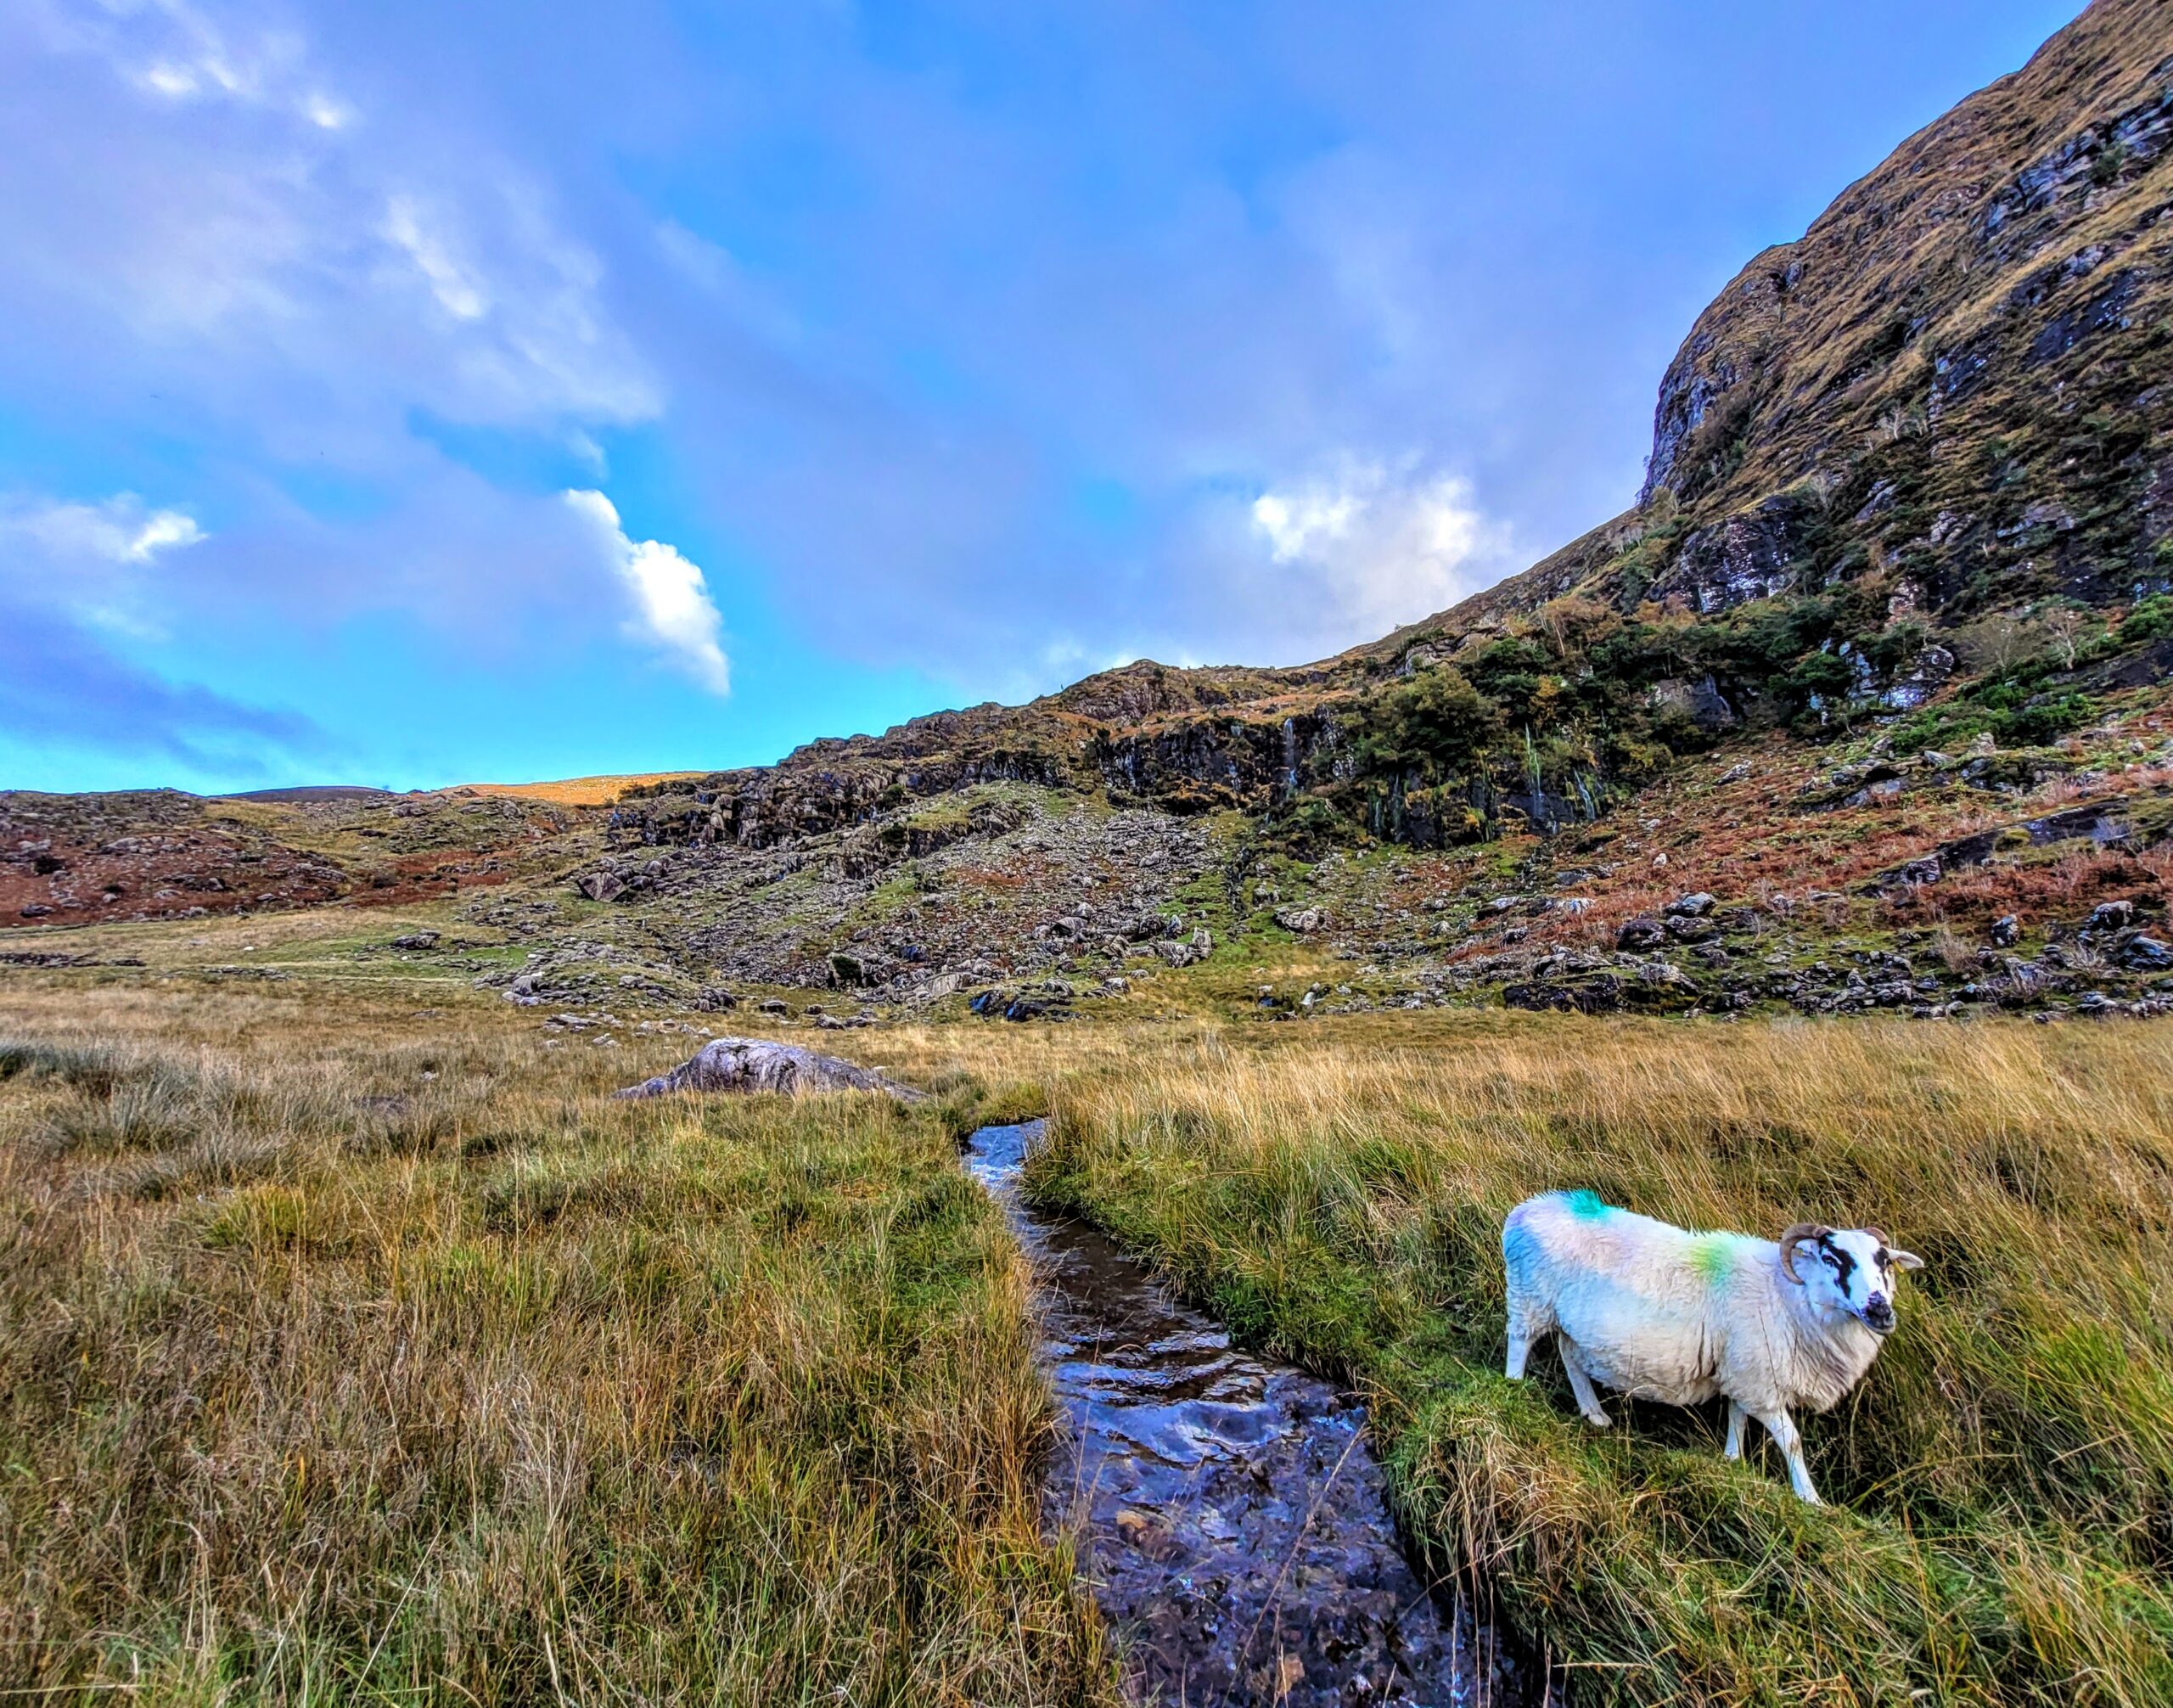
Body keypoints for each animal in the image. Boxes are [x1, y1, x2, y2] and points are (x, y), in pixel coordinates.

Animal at [1503, 1190, 1929, 1495]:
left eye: (1885, 1262)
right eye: (1831, 1258)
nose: (1880, 1311)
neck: (1785, 1295)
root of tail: (1527, 1210)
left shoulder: (1743, 1373)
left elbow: (1737, 1417)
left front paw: (1733, 1461)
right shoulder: (1761, 1380)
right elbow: (1791, 1441)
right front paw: (1810, 1499)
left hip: (1570, 1322)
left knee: (1570, 1357)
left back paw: (1594, 1414)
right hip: (1531, 1298)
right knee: (1520, 1342)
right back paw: (1513, 1389)